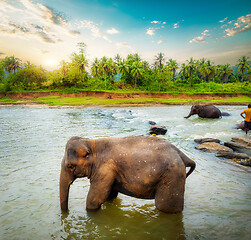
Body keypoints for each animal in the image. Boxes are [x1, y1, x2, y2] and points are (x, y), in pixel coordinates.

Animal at [59, 136, 196, 213]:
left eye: (70, 166)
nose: (66, 213)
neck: (92, 143)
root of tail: (181, 154)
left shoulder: (105, 169)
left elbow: (94, 199)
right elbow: (110, 195)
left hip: (172, 177)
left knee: (164, 207)